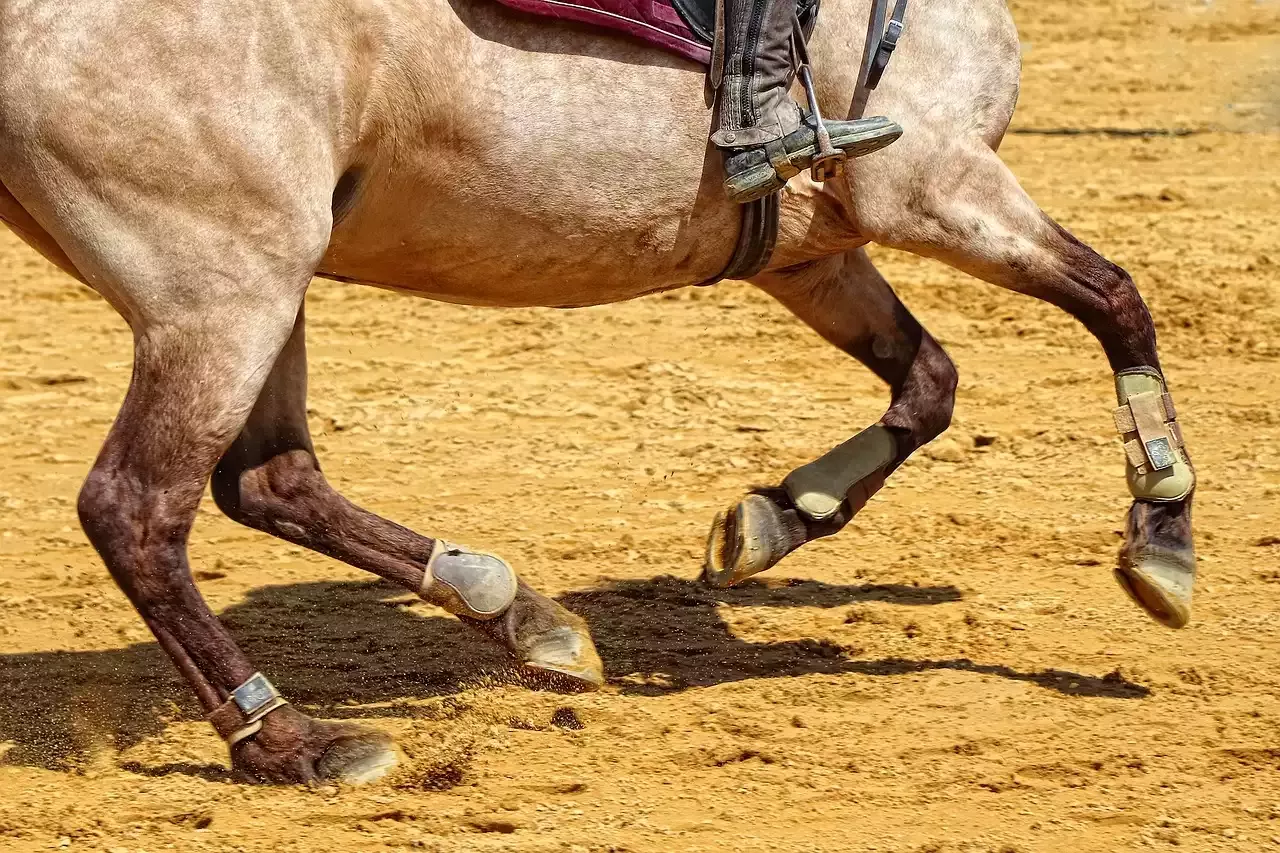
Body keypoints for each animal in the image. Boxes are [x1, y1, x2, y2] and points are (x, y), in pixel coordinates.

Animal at [0, 0, 1198, 778]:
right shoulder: (940, 187)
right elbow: (1117, 301)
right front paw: (1162, 539)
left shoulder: (812, 246)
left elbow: (930, 381)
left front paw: (771, 521)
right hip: (222, 294)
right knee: (139, 510)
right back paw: (292, 741)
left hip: (262, 286)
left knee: (272, 480)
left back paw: (520, 617)